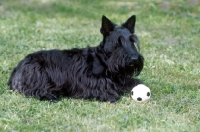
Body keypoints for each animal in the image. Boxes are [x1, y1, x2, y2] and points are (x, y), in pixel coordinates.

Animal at [7, 14, 144, 102]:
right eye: (118, 42)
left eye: (132, 41)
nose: (134, 59)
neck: (104, 60)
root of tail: (18, 67)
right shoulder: (91, 81)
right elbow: (104, 87)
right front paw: (110, 95)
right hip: (38, 72)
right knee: (34, 90)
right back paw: (51, 95)